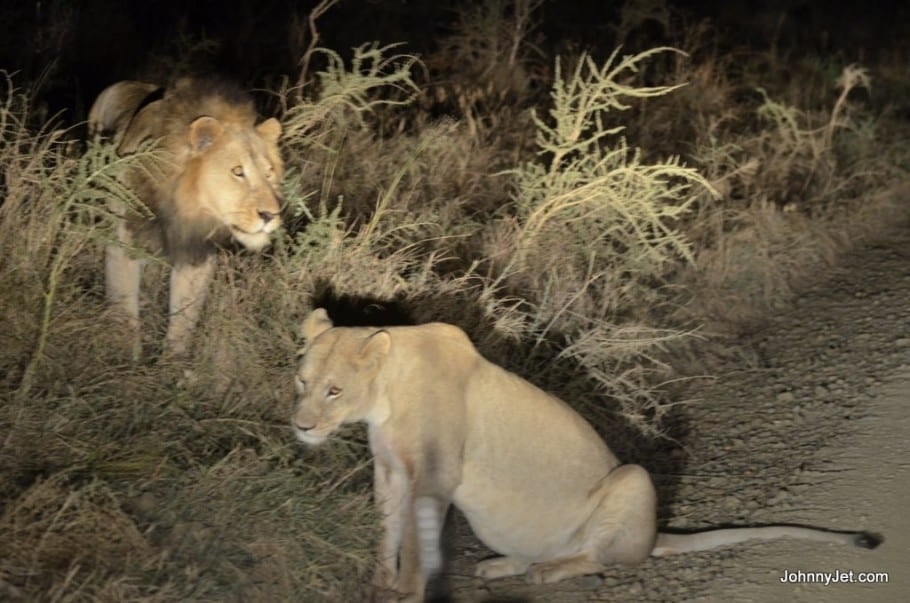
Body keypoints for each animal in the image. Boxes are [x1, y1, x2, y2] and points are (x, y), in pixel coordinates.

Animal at [89, 76, 284, 358]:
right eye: (238, 171)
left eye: (269, 173)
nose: (270, 214)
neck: (182, 210)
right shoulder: (126, 239)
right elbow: (123, 302)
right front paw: (123, 356)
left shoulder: (196, 255)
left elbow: (184, 317)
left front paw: (173, 363)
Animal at [294, 310, 884, 600]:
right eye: (302, 381)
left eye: (334, 391)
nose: (300, 426)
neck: (383, 400)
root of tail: (653, 536)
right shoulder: (390, 470)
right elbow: (387, 530)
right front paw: (380, 582)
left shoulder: (434, 477)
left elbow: (417, 545)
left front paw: (406, 591)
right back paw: (504, 565)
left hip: (633, 479)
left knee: (603, 558)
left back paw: (549, 572)